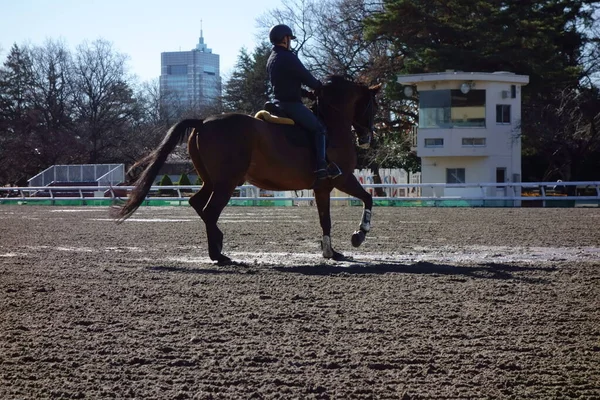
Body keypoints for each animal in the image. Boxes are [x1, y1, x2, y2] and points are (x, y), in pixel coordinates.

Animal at [113, 75, 380, 264]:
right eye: (373, 107)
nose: (367, 139)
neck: (332, 124)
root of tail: (203, 121)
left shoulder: (322, 187)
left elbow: (326, 220)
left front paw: (331, 252)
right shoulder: (342, 179)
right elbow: (367, 199)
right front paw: (359, 235)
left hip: (212, 181)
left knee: (197, 204)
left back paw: (218, 244)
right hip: (226, 183)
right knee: (210, 210)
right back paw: (218, 255)